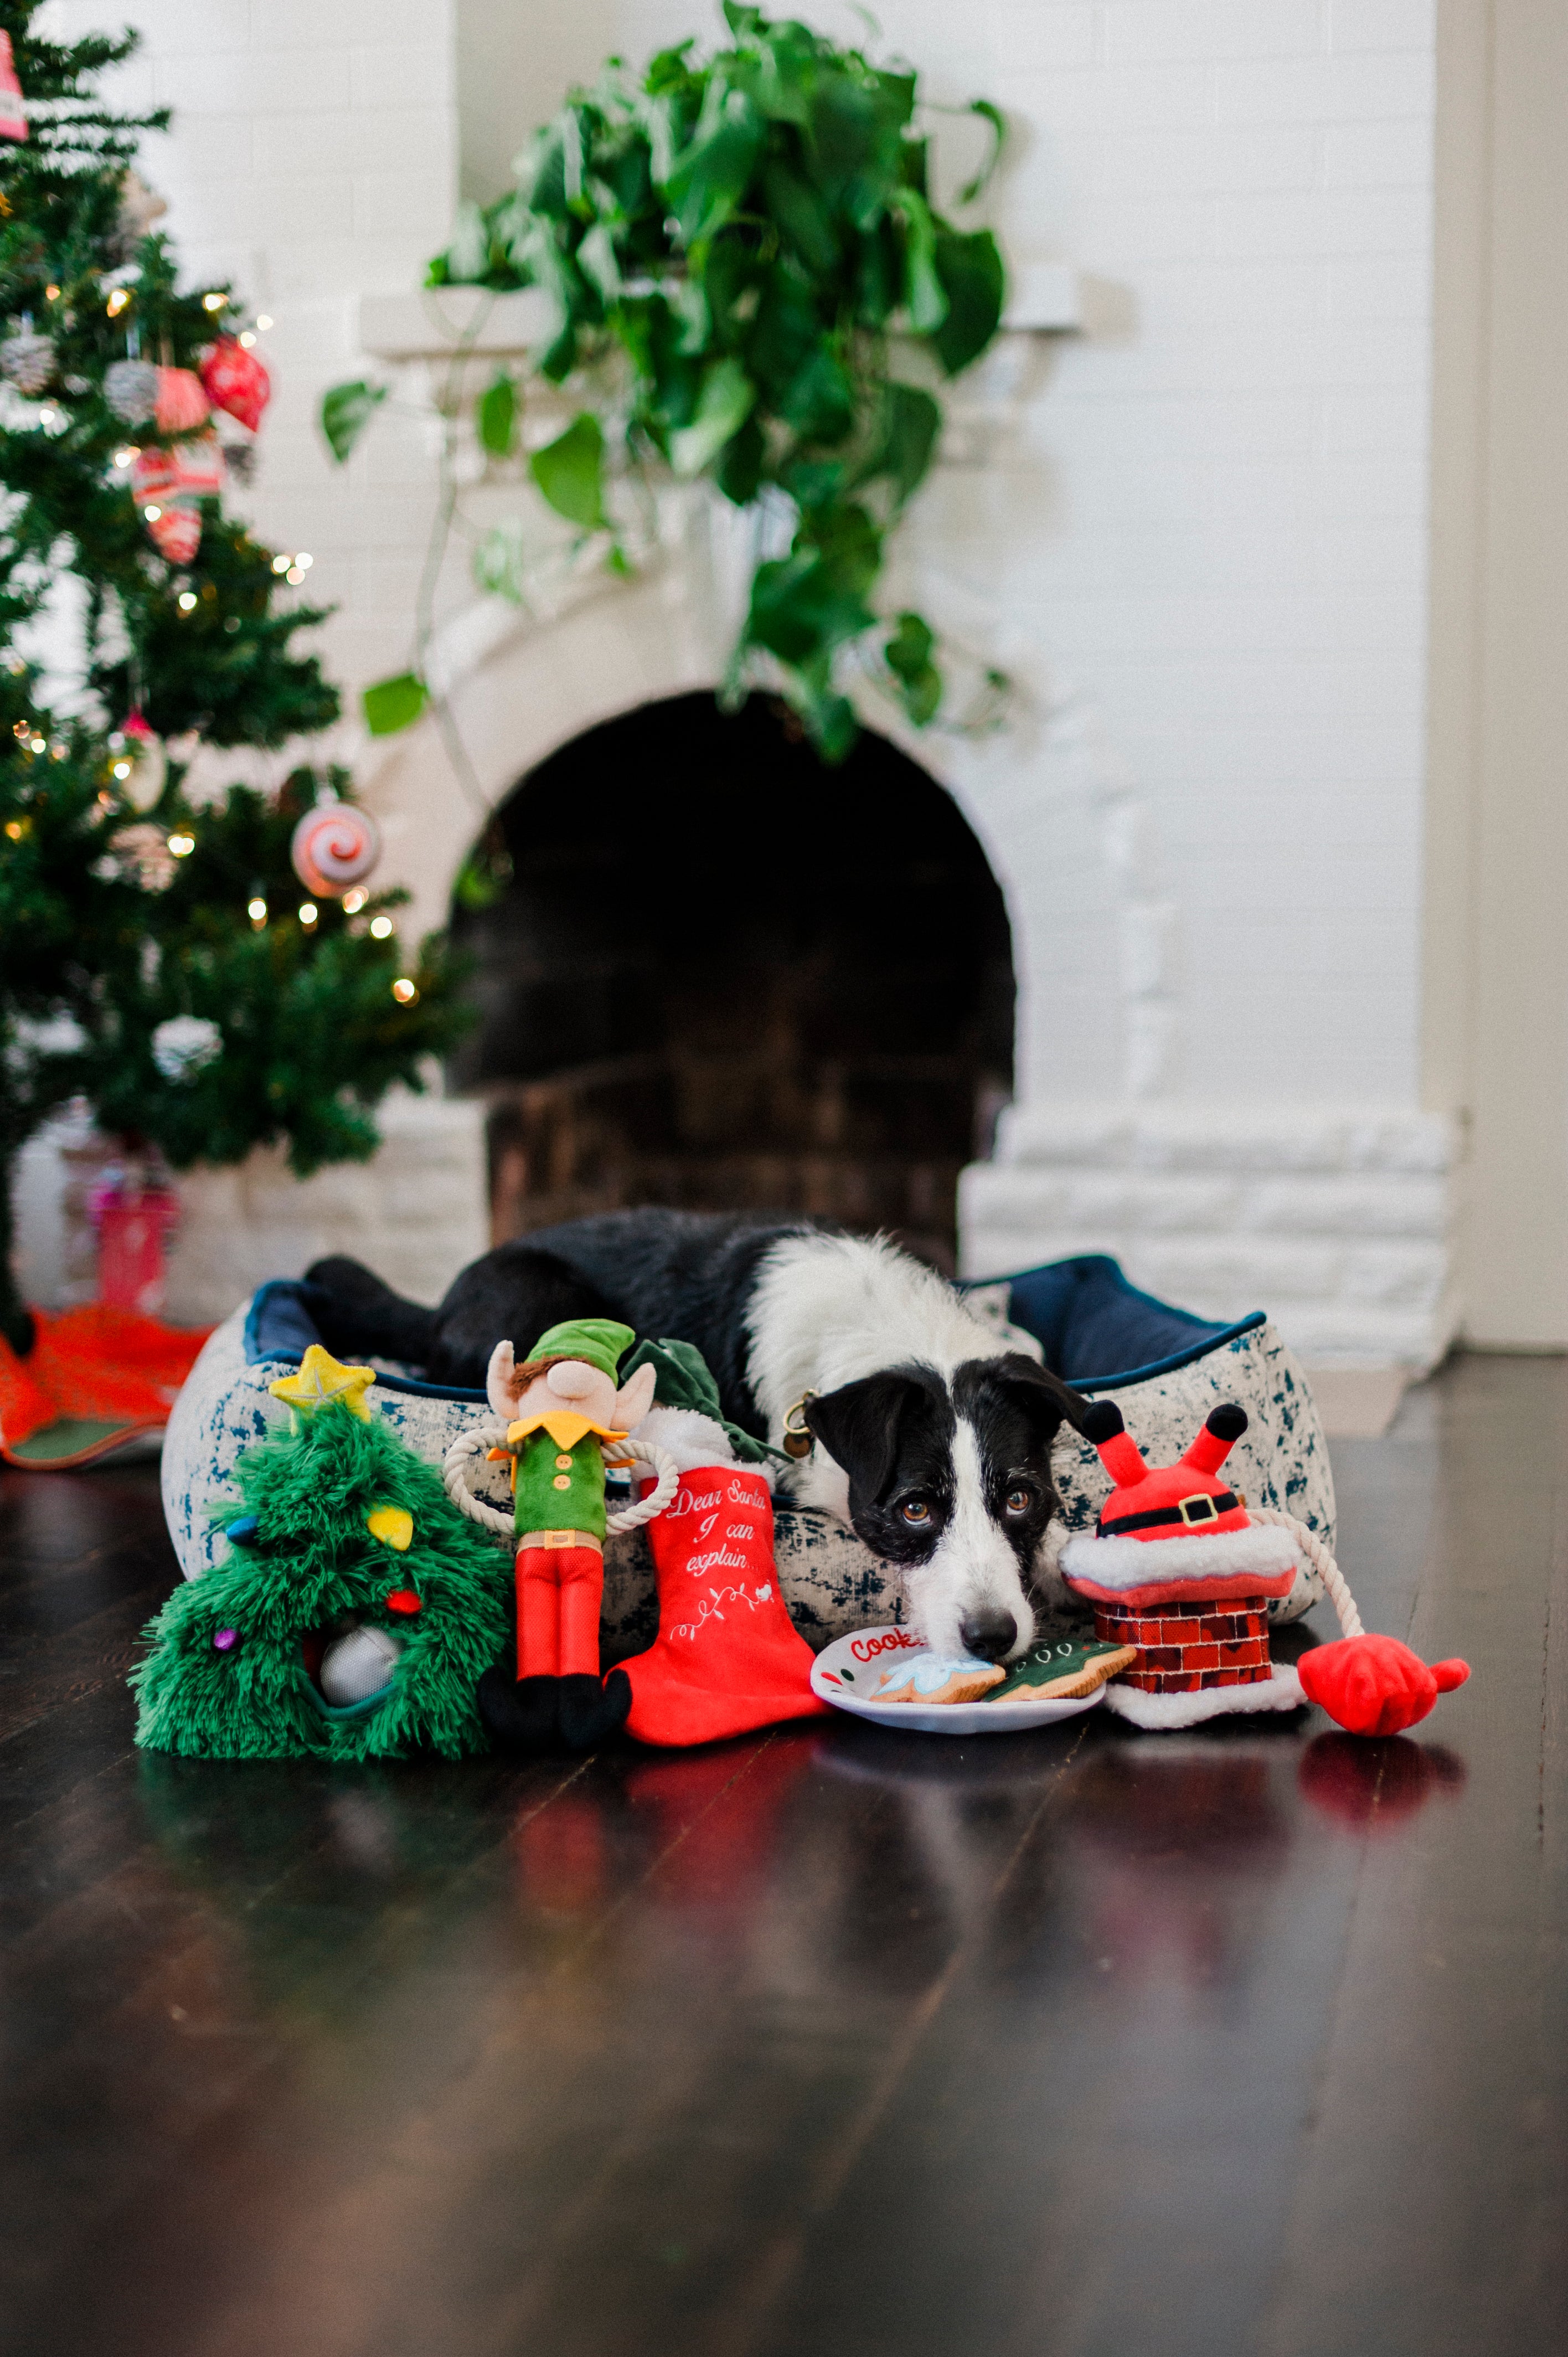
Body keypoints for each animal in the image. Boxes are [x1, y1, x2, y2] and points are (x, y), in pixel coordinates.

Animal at [311, 1216, 1084, 1659]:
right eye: (914, 1509)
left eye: (1022, 1499)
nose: (993, 1637)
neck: (893, 1334)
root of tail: (438, 1306)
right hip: (543, 1304)